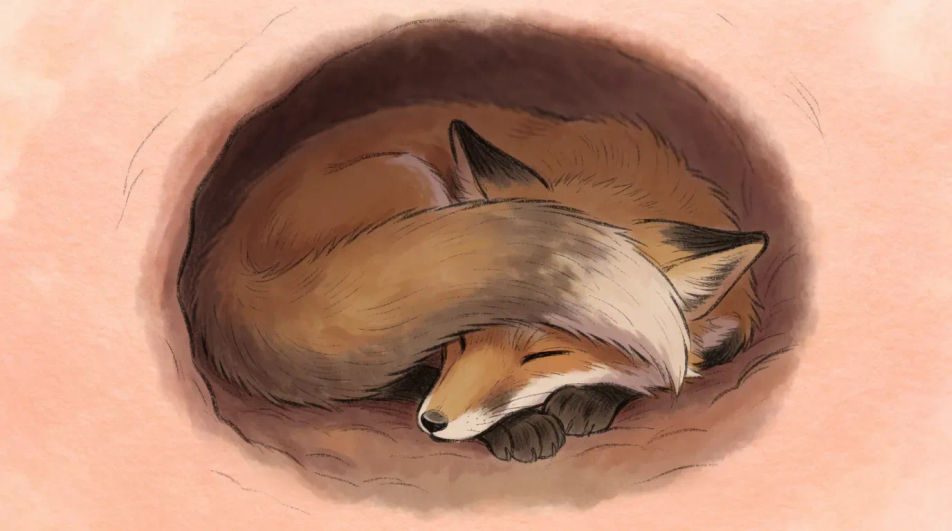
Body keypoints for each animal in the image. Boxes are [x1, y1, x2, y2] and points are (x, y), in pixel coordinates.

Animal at [180, 102, 767, 463]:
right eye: (458, 339)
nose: (433, 423)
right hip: (413, 183)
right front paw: (523, 425)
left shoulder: (729, 327)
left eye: (542, 356)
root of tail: (220, 261)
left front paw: (594, 396)